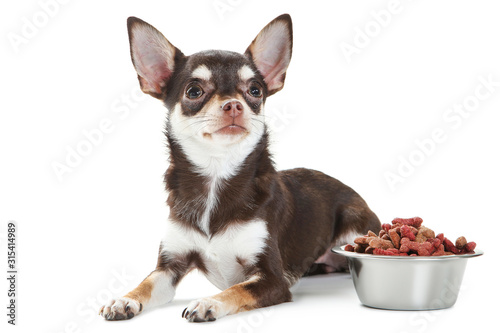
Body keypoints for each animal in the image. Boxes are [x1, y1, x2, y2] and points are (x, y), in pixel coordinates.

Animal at [98, 13, 378, 322]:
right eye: (194, 91)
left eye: (254, 90)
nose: (234, 104)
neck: (216, 174)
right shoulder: (169, 267)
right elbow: (146, 283)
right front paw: (125, 298)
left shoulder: (271, 279)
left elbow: (235, 290)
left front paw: (207, 302)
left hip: (354, 227)